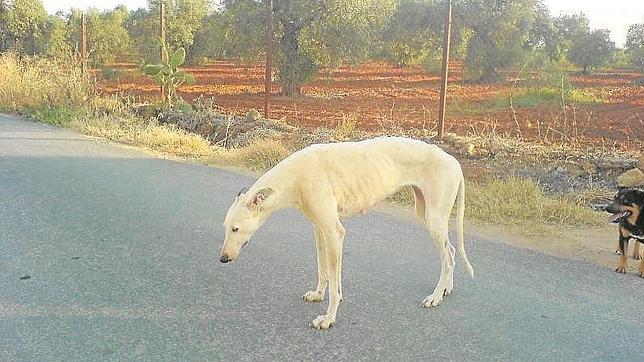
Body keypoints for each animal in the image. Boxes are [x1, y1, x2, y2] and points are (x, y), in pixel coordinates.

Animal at [220, 136, 472, 328]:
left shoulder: (334, 233)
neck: (297, 175)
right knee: (450, 251)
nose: (223, 258)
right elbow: (323, 270)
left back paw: (435, 297)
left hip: (434, 218)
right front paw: (317, 294)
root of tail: (454, 162)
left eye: (235, 228)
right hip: (426, 215)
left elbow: (335, 284)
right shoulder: (320, 229)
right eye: (226, 228)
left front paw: (328, 319)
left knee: (448, 258)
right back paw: (446, 288)